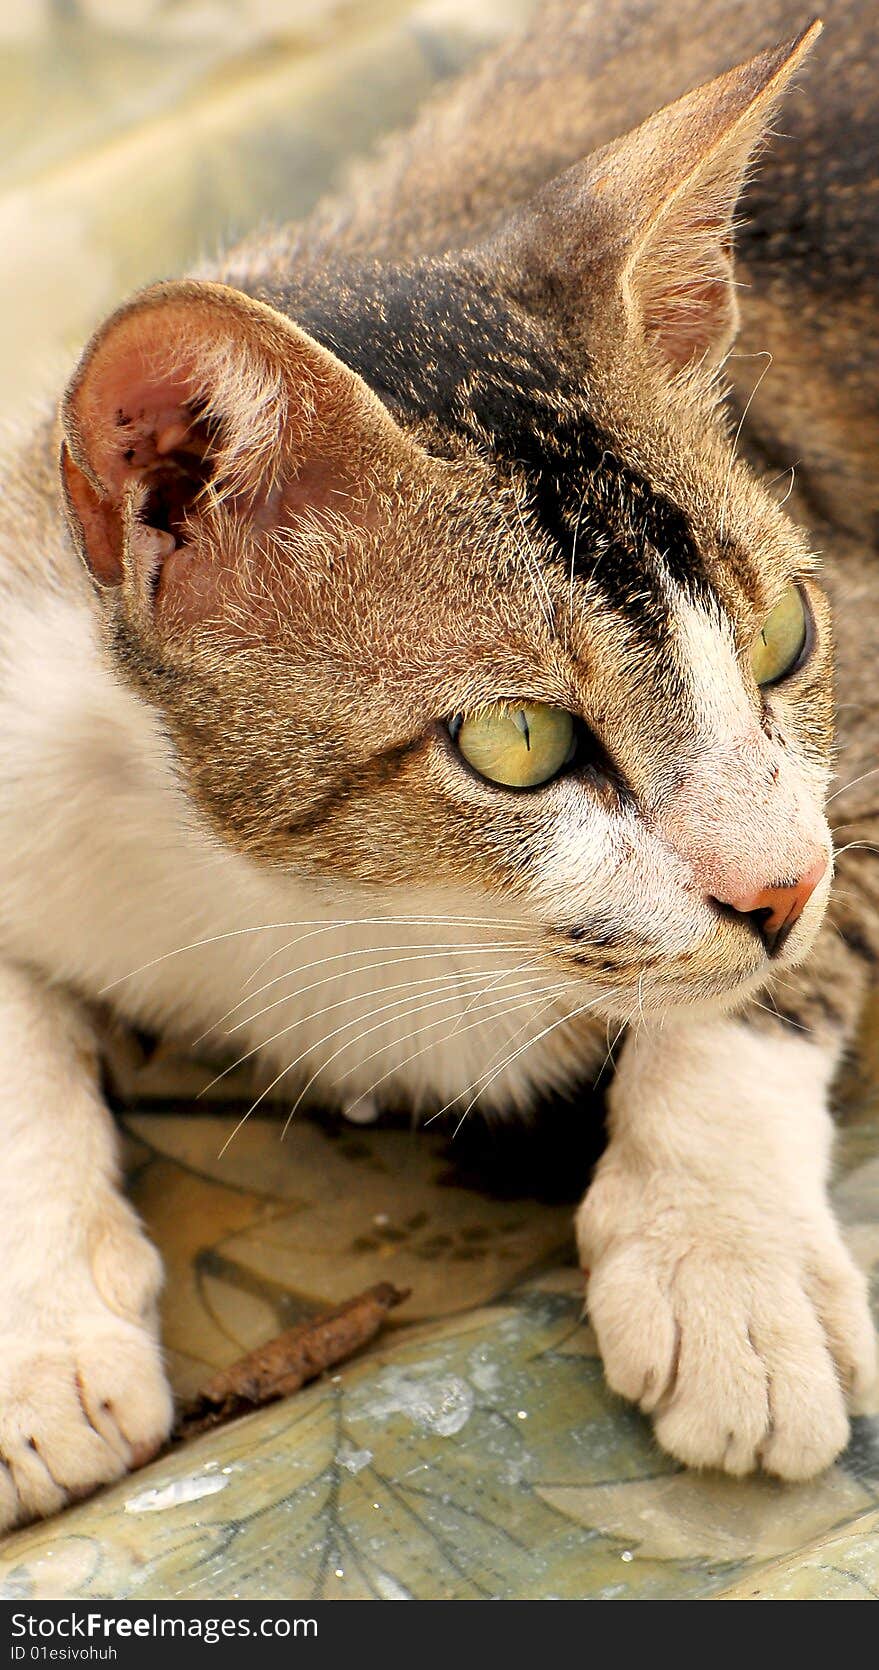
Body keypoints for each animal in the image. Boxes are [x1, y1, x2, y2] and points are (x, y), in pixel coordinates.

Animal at [0, 0, 875, 1529]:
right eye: (517, 740)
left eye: (781, 635)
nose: (775, 890)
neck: (324, 903)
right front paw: (45, 1343)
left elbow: (781, 962)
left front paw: (729, 1262)